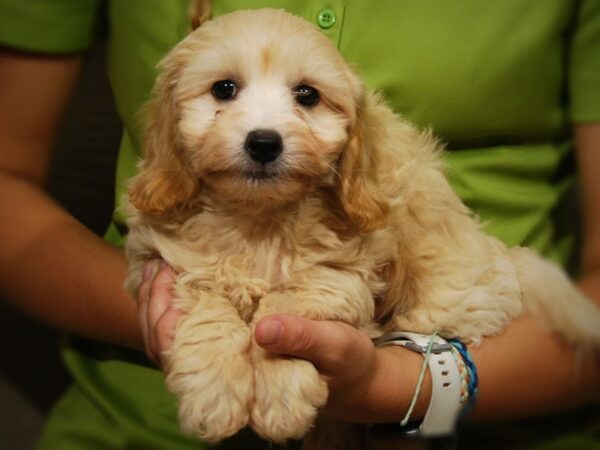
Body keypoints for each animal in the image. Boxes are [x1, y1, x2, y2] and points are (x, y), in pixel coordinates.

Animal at [123, 7, 600, 450]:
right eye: (224, 88)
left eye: (307, 95)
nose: (264, 142)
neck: (261, 219)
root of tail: (504, 257)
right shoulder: (174, 262)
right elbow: (209, 308)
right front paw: (215, 393)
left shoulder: (342, 274)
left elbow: (285, 305)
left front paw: (280, 394)